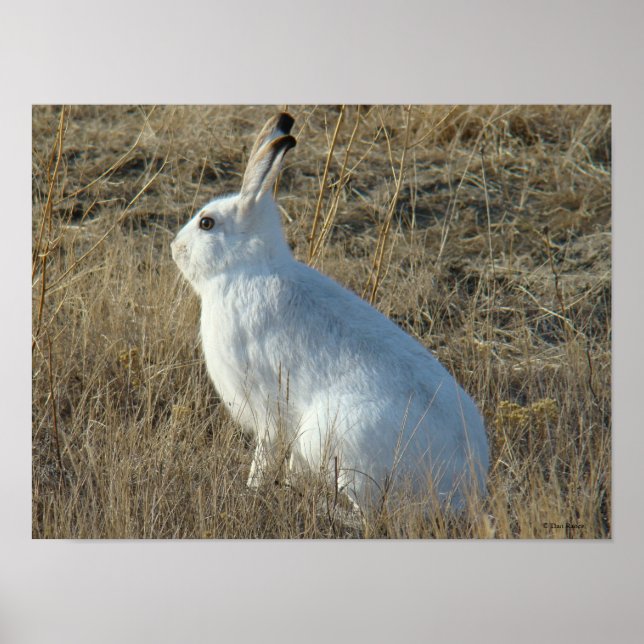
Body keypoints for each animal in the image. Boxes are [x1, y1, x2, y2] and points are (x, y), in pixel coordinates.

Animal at [171, 112, 489, 512]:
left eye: (206, 223)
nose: (174, 247)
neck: (248, 267)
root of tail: (464, 489)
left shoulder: (266, 408)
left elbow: (264, 453)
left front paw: (252, 489)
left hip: (339, 442)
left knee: (367, 514)